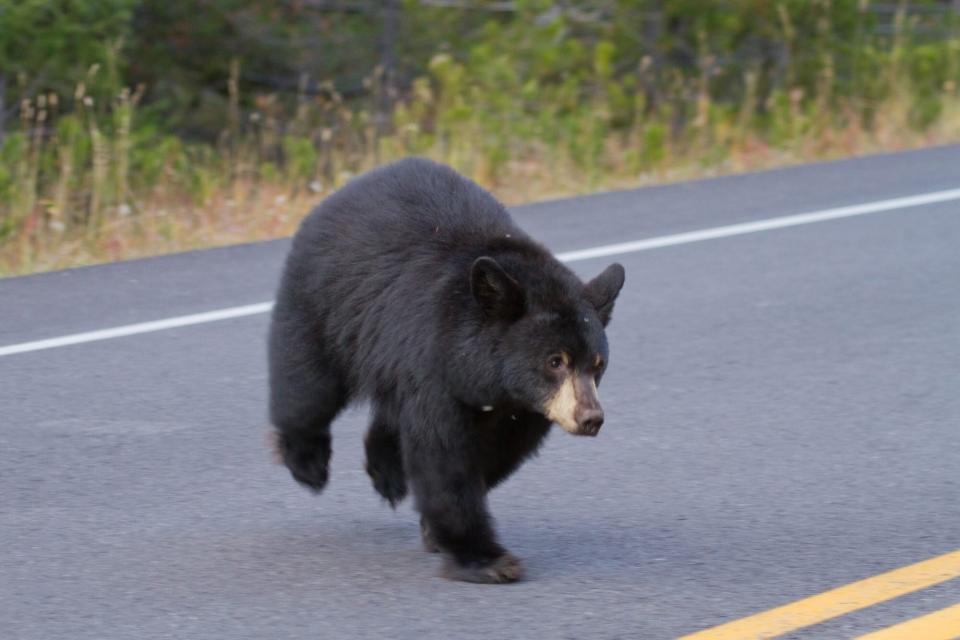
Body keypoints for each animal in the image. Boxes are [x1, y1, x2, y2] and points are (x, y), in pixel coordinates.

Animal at [274, 158, 628, 584]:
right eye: (555, 361)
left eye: (598, 364)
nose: (590, 417)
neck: (488, 379)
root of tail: (343, 190)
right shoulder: (434, 367)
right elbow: (442, 455)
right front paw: (486, 559)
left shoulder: (522, 409)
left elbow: (496, 453)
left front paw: (435, 529)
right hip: (325, 304)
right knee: (308, 386)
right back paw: (308, 463)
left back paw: (386, 471)